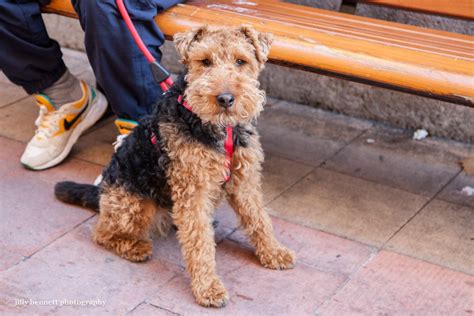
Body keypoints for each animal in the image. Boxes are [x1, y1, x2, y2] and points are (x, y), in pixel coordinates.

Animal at [54, 25, 292, 308]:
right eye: (205, 61)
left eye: (240, 61)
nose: (225, 99)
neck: (219, 128)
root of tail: (102, 192)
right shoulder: (193, 189)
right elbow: (199, 244)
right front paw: (208, 289)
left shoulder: (244, 180)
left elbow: (258, 220)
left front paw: (274, 253)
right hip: (135, 204)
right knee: (102, 232)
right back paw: (135, 247)